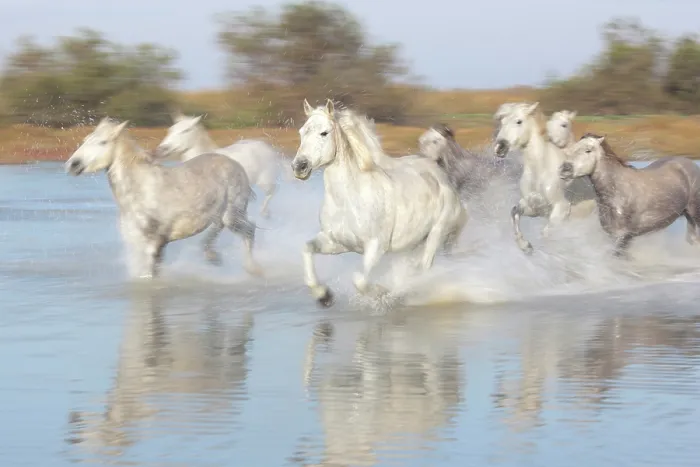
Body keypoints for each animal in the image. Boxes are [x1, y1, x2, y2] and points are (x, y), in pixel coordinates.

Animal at [65, 117, 262, 279]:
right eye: (85, 140)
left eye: (103, 142)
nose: (72, 165)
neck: (141, 190)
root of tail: (236, 165)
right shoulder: (147, 244)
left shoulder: (152, 243)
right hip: (220, 216)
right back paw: (213, 257)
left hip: (233, 215)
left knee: (249, 231)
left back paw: (251, 269)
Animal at [154, 111, 284, 219]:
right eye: (170, 129)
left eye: (186, 130)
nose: (161, 149)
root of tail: (268, 147)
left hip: (265, 180)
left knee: (273, 191)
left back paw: (265, 213)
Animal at [291, 99, 467, 307]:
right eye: (302, 132)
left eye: (324, 133)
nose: (299, 166)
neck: (349, 201)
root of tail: (439, 173)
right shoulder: (336, 242)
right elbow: (307, 249)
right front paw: (324, 296)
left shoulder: (375, 247)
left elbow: (359, 280)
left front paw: (381, 293)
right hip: (407, 247)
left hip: (436, 234)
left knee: (424, 267)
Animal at [493, 102, 597, 254]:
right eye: (502, 121)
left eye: (519, 121)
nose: (500, 147)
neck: (541, 170)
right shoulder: (535, 207)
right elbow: (514, 213)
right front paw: (526, 246)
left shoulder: (561, 209)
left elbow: (546, 234)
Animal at [559, 133, 700, 256]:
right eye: (572, 149)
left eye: (588, 150)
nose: (564, 169)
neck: (617, 192)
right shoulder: (612, 235)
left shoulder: (624, 237)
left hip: (695, 215)